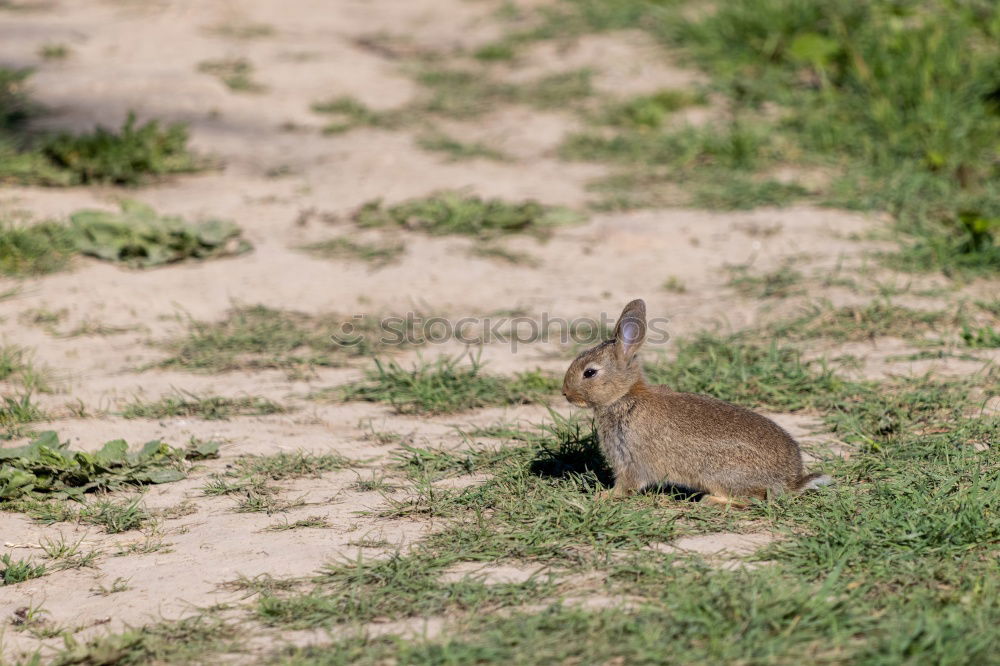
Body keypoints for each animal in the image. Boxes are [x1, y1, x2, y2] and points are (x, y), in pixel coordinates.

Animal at [564, 298, 828, 500]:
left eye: (590, 373)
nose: (565, 394)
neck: (624, 396)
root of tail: (789, 482)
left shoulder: (630, 459)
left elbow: (627, 484)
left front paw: (604, 496)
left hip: (719, 474)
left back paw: (710, 500)